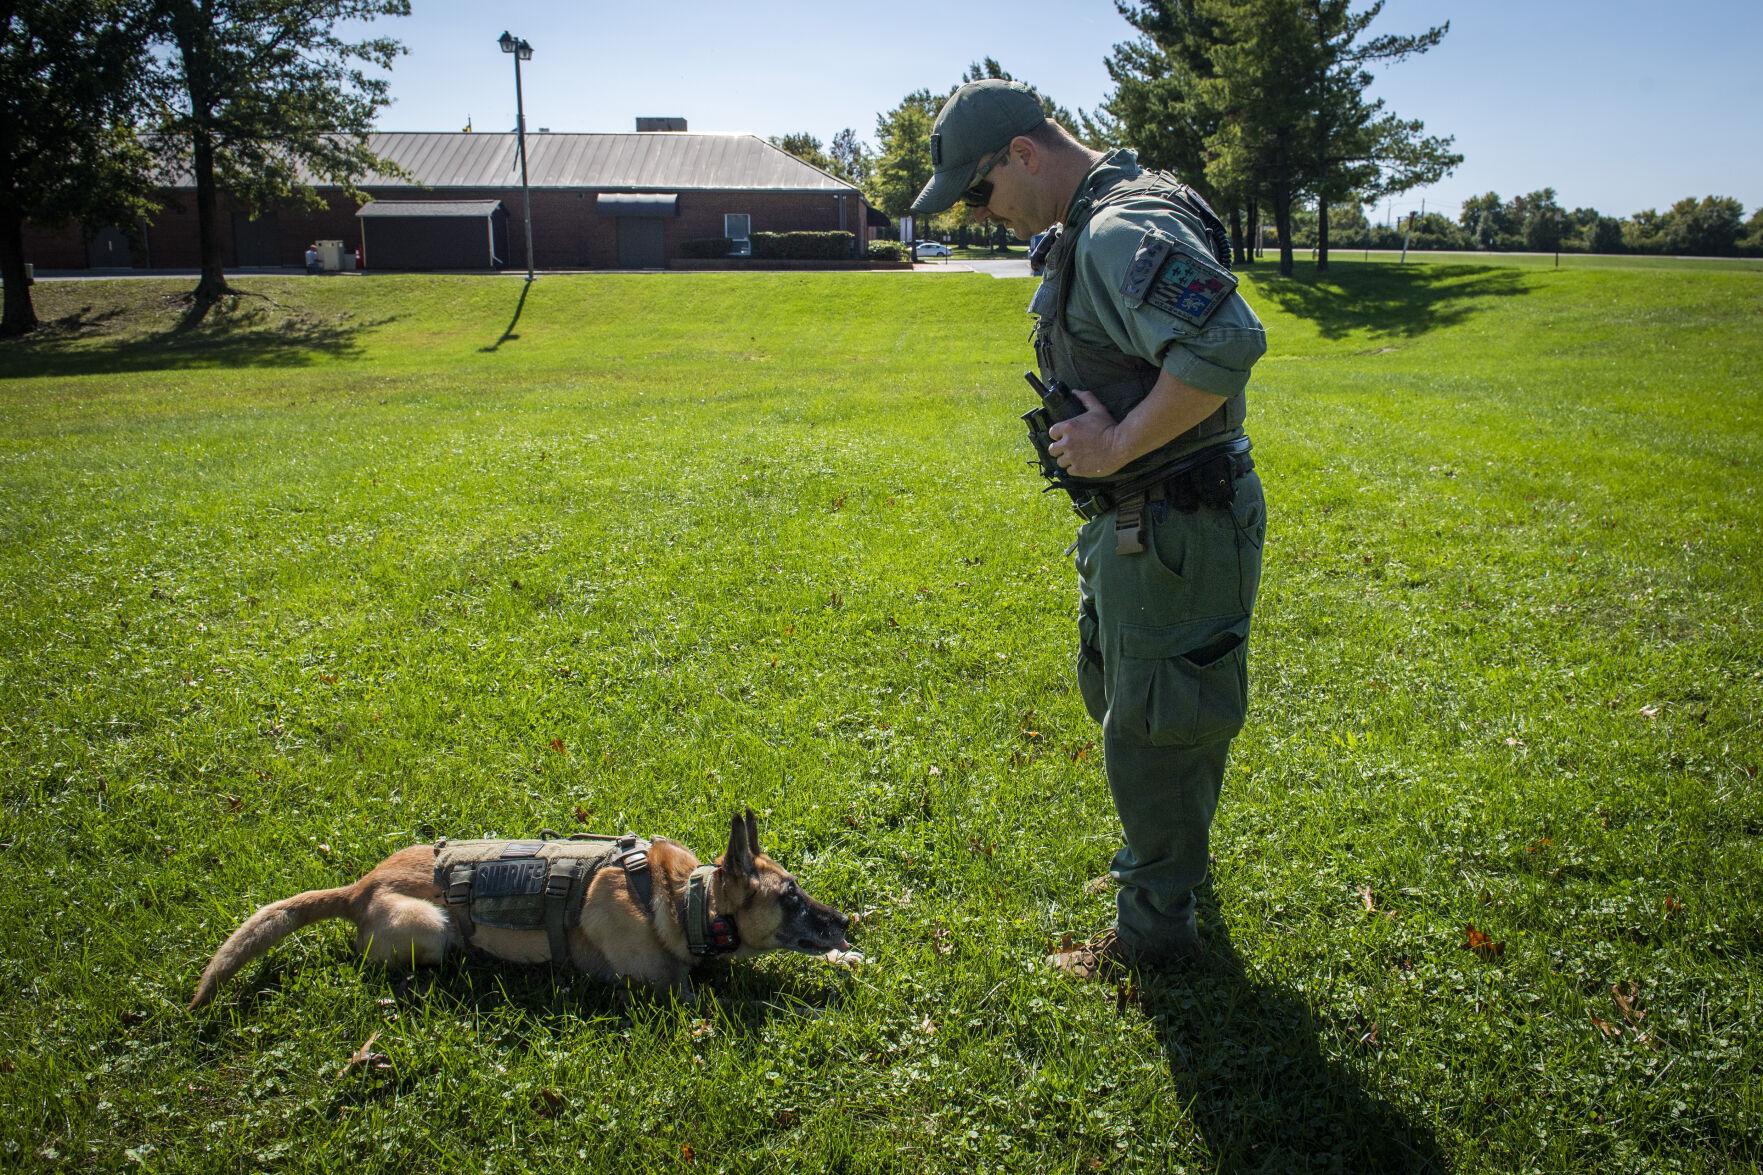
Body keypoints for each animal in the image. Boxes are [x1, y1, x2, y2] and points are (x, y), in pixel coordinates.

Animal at [193, 804, 853, 1009]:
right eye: (789, 898)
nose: (845, 922)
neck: (684, 898)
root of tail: (358, 888)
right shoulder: (670, 990)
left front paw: (848, 959)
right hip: (431, 925)